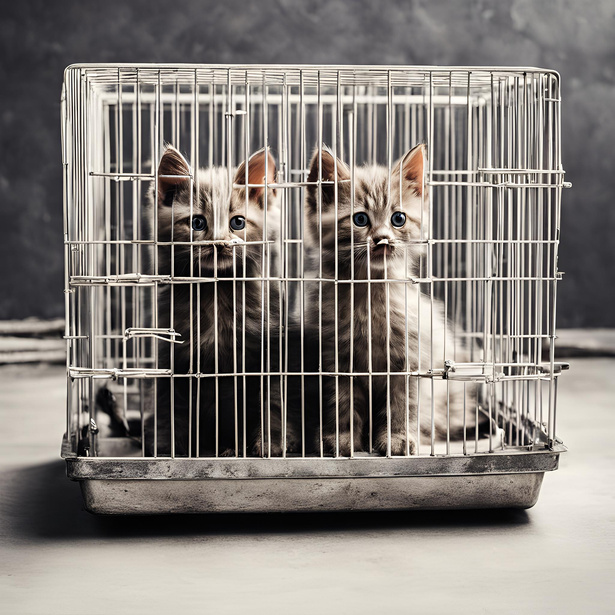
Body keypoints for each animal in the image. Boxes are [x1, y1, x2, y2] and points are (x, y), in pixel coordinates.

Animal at [308, 142, 482, 454]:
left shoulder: (409, 358)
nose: (383, 239)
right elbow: (341, 401)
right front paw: (341, 438)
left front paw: (397, 439)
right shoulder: (335, 357)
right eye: (360, 219)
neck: (371, 294)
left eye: (398, 219)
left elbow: (403, 404)